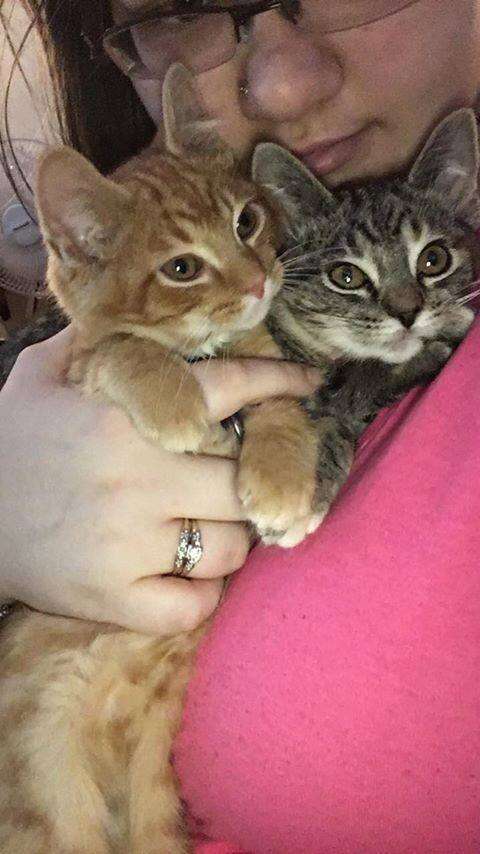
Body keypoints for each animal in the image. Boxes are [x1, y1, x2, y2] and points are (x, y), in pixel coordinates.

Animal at [0, 67, 322, 854]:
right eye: (182, 268)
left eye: (246, 221)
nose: (257, 281)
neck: (205, 352)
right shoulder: (83, 365)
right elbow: (122, 349)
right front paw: (175, 400)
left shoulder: (266, 364)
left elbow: (278, 404)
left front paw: (282, 480)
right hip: (52, 805)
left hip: (153, 795)